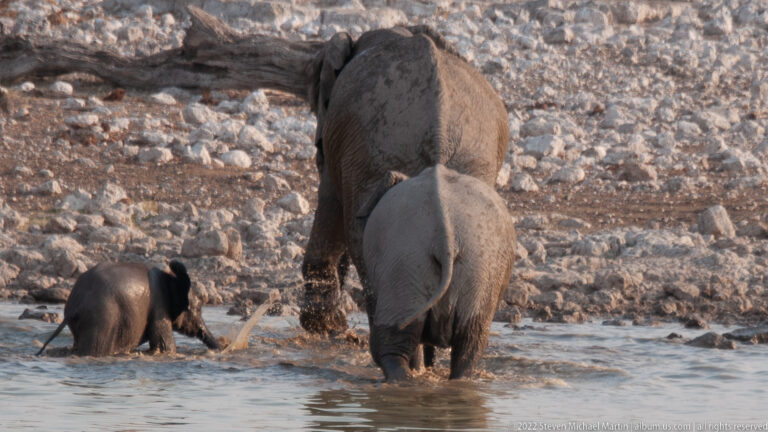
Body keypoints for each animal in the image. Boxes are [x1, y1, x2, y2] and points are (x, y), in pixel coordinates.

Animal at [36, 260, 222, 356]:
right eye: (198, 309)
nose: (222, 347)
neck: (171, 276)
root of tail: (75, 305)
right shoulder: (159, 306)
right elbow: (165, 346)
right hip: (102, 318)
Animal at [358, 165, 516, 381]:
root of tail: (445, 236)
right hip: (479, 265)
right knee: (470, 342)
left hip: (404, 263)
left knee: (392, 341)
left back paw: (403, 380)